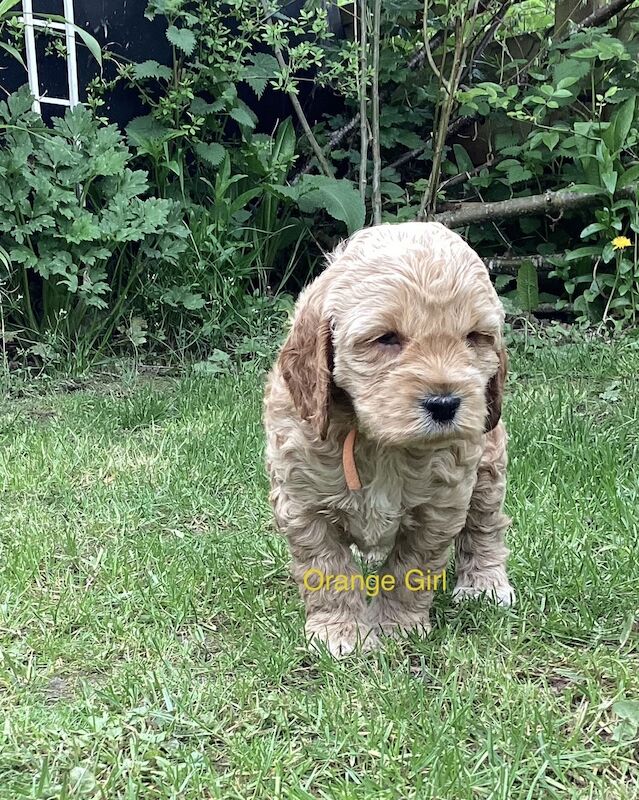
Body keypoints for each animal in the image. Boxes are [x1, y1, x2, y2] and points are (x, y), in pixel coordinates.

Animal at [262, 220, 516, 656]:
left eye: (474, 337)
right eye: (386, 338)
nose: (445, 403)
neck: (380, 443)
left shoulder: (441, 505)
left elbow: (410, 568)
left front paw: (397, 627)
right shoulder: (302, 502)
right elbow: (327, 568)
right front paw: (340, 631)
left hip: (487, 462)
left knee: (485, 523)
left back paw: (484, 583)